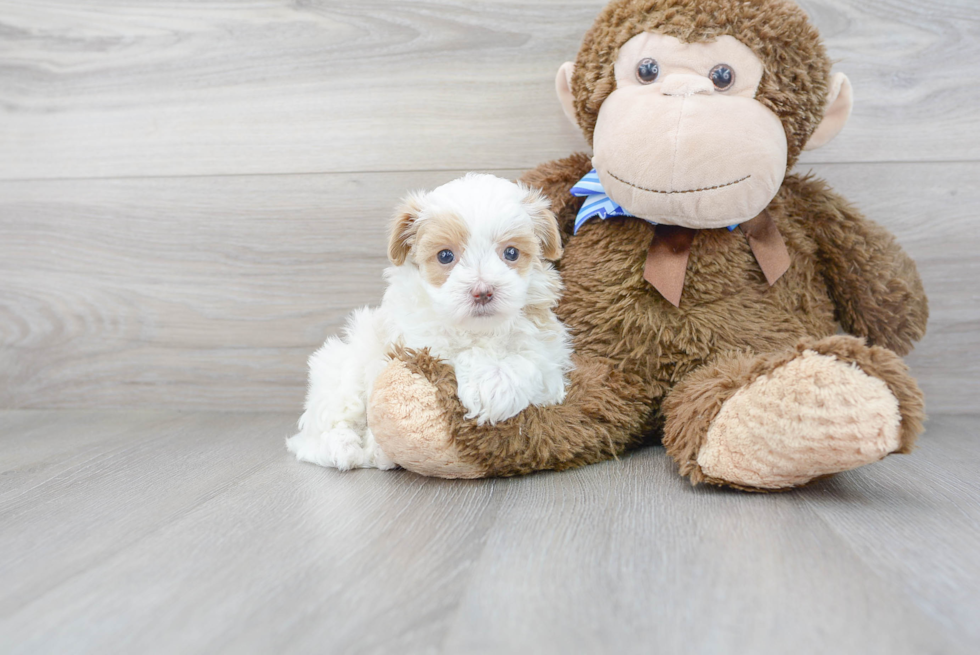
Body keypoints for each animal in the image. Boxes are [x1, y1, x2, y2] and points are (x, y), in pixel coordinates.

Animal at [288, 174, 572, 472]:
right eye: (445, 256)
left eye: (512, 253)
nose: (482, 291)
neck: (477, 330)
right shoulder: (414, 342)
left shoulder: (550, 356)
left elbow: (529, 360)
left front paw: (492, 387)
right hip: (343, 366)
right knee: (322, 429)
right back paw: (346, 448)